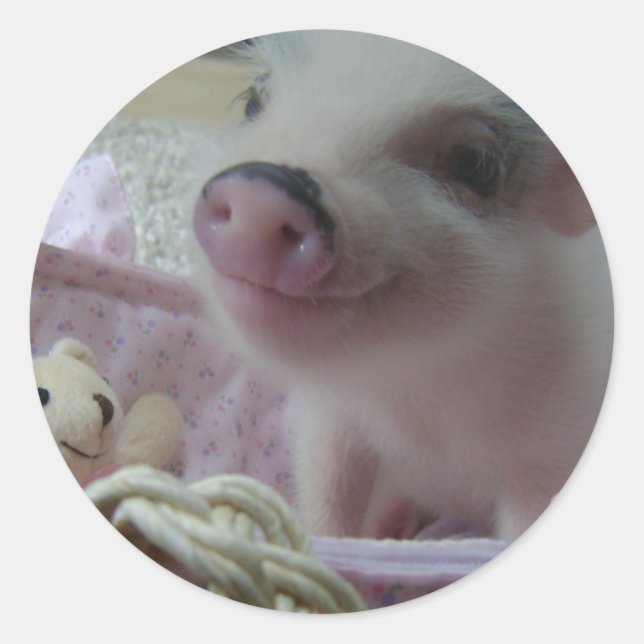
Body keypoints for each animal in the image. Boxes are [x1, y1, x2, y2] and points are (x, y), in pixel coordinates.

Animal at [188, 30, 613, 541]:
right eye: (253, 102)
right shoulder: (329, 418)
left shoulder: (549, 454)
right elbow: (327, 494)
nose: (261, 190)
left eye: (476, 164)